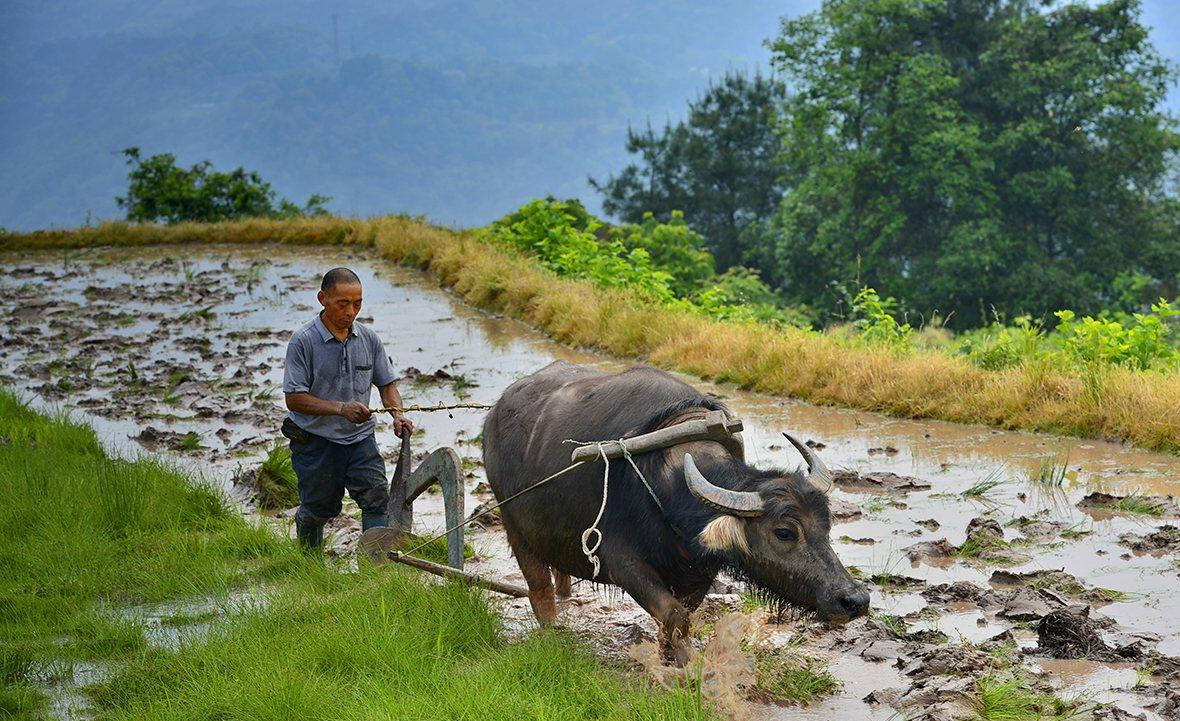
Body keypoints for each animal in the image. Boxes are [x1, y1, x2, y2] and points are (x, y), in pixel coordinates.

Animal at [481, 363, 877, 660]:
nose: (854, 600)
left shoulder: (699, 571)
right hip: (515, 527)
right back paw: (552, 631)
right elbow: (673, 614)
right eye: (785, 532)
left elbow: (681, 615)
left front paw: (670, 655)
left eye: (826, 527)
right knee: (539, 589)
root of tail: (495, 413)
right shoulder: (623, 562)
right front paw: (684, 664)